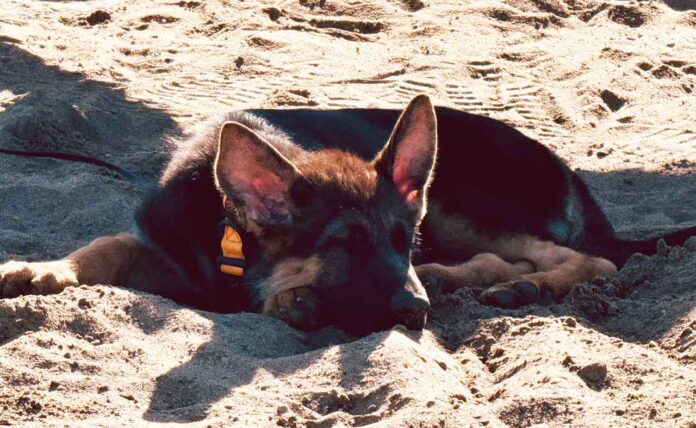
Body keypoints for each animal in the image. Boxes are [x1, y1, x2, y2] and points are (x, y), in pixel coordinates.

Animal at [1, 95, 696, 336]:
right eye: (344, 246)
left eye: (403, 241)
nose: (416, 314)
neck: (227, 234)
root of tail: (571, 172)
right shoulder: (166, 253)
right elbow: (106, 245)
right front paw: (42, 270)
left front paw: (291, 302)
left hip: (463, 203)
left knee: (589, 258)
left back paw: (513, 285)